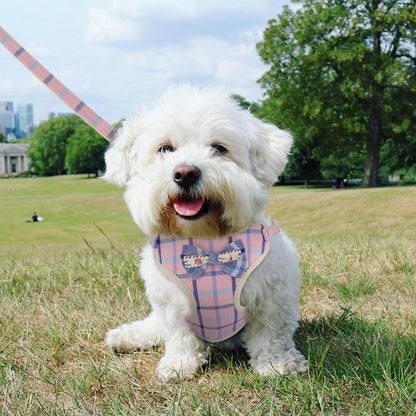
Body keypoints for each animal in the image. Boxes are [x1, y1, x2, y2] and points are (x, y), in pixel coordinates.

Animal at [102, 86, 308, 382]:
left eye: (219, 148)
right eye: (165, 148)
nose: (185, 173)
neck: (207, 244)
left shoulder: (272, 296)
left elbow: (271, 334)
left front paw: (277, 363)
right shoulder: (172, 304)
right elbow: (180, 337)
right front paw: (179, 364)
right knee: (156, 326)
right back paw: (124, 336)